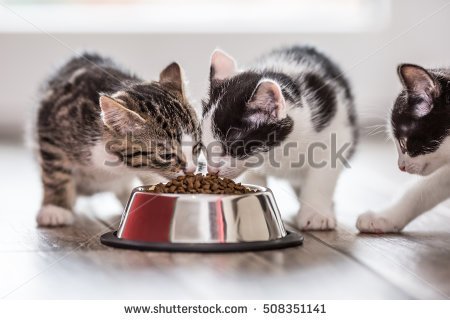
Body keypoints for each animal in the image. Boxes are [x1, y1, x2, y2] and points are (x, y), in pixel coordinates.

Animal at [33, 53, 199, 226]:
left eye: (196, 147)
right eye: (166, 155)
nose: (192, 170)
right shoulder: (49, 127)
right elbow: (55, 172)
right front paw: (55, 208)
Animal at [202, 45, 356, 230]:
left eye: (231, 143)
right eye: (204, 145)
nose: (212, 170)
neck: (278, 150)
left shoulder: (337, 133)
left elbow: (323, 175)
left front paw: (315, 213)